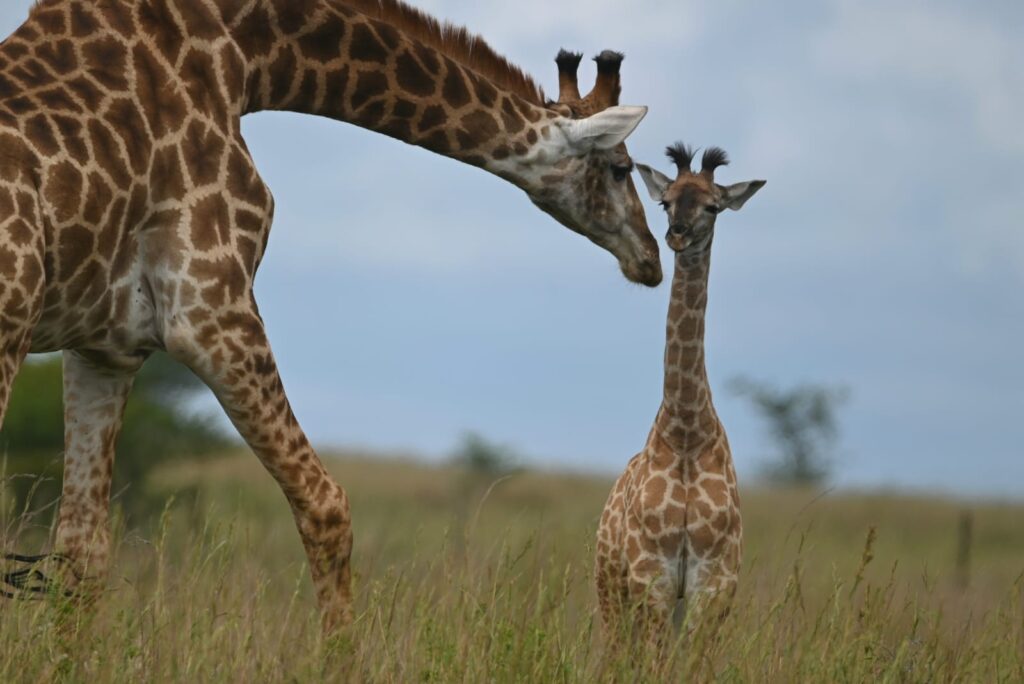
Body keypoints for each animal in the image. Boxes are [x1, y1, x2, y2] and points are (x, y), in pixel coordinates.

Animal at [0, 0, 662, 632]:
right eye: (623, 168)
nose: (651, 259)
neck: (246, 58)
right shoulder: (209, 306)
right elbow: (326, 503)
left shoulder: (104, 347)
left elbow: (81, 551)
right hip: (11, 334)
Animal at [595, 143, 765, 640]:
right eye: (666, 202)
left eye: (713, 206)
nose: (677, 235)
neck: (688, 429)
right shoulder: (653, 575)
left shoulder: (714, 582)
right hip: (611, 590)